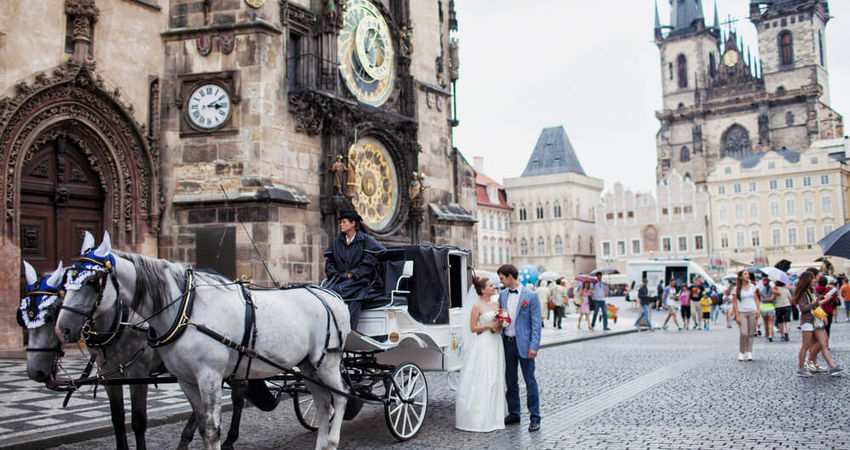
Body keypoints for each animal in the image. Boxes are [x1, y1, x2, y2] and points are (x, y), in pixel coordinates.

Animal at [56, 232, 350, 450]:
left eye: (93, 281)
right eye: (67, 279)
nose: (63, 330)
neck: (186, 310)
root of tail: (332, 296)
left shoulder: (207, 376)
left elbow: (210, 429)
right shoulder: (185, 379)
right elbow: (197, 424)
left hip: (327, 362)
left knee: (341, 396)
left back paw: (332, 441)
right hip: (308, 366)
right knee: (324, 402)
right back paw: (322, 443)